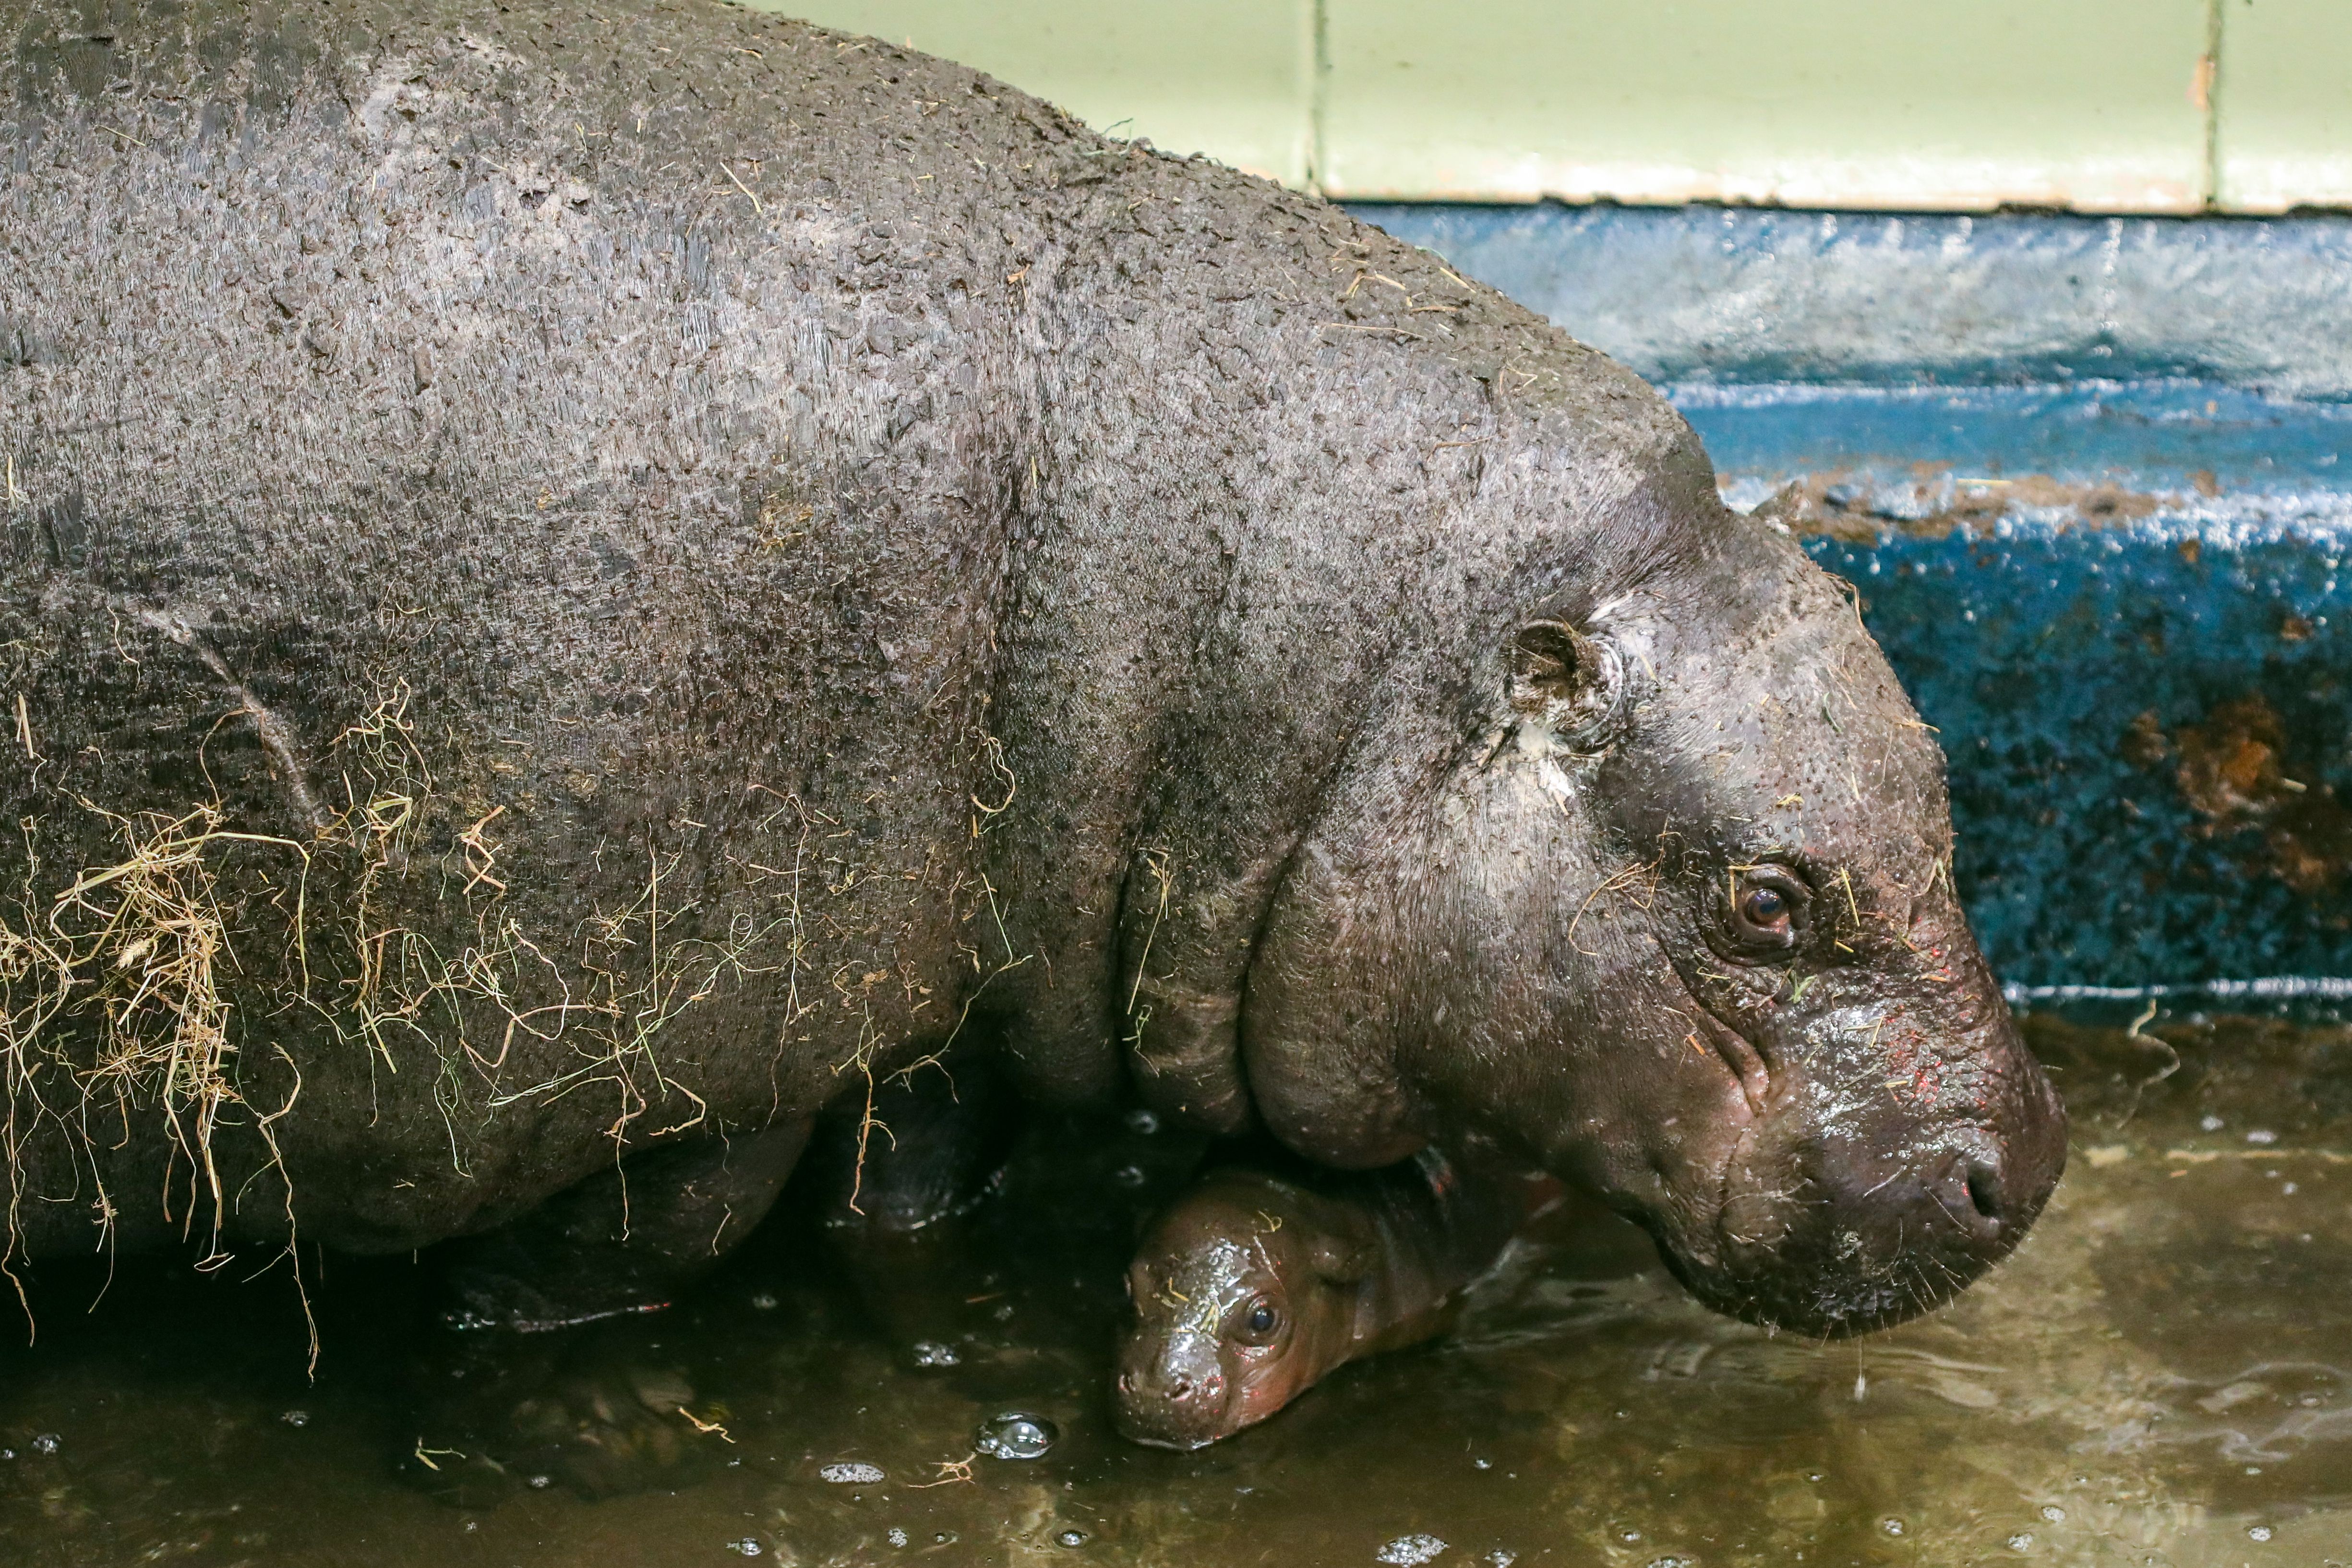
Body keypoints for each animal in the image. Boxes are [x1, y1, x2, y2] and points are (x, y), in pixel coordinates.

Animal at [0, 0, 2060, 1382]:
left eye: (1940, 785)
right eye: (1766, 898)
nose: (2027, 1164)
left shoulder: (936, 993)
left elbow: (899, 1180)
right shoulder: (703, 1023)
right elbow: (669, 1223)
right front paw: (505, 1323)